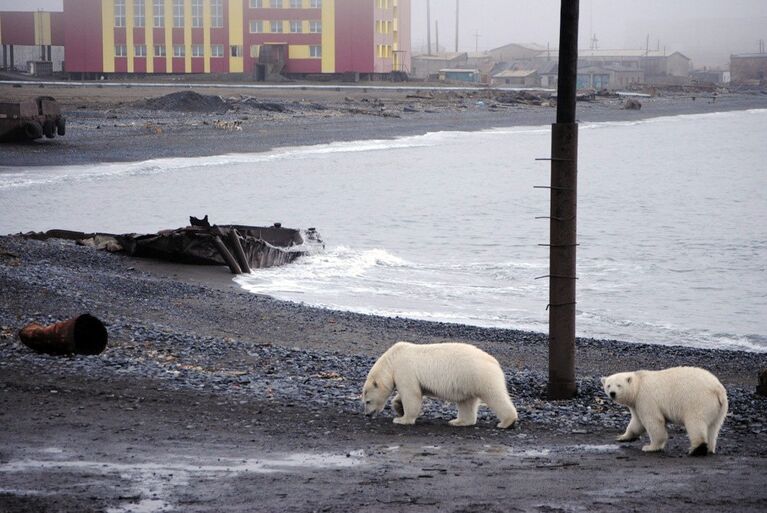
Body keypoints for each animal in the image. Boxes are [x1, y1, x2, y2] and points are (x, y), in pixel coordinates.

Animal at [364, 340, 520, 428]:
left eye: (367, 401)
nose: (367, 414)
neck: (392, 359)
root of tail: (494, 362)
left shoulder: (405, 369)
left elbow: (411, 394)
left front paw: (402, 419)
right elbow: (413, 392)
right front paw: (398, 406)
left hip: (480, 375)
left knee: (495, 396)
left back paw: (506, 422)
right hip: (467, 381)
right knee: (466, 402)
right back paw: (458, 421)